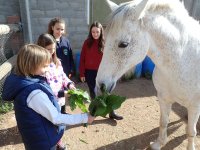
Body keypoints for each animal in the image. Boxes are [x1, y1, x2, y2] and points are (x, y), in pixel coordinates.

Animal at [95, 0, 200, 150]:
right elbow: (163, 122)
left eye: (124, 44)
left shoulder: (194, 106)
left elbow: (191, 131)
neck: (181, 61)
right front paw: (158, 143)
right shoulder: (163, 99)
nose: (101, 85)